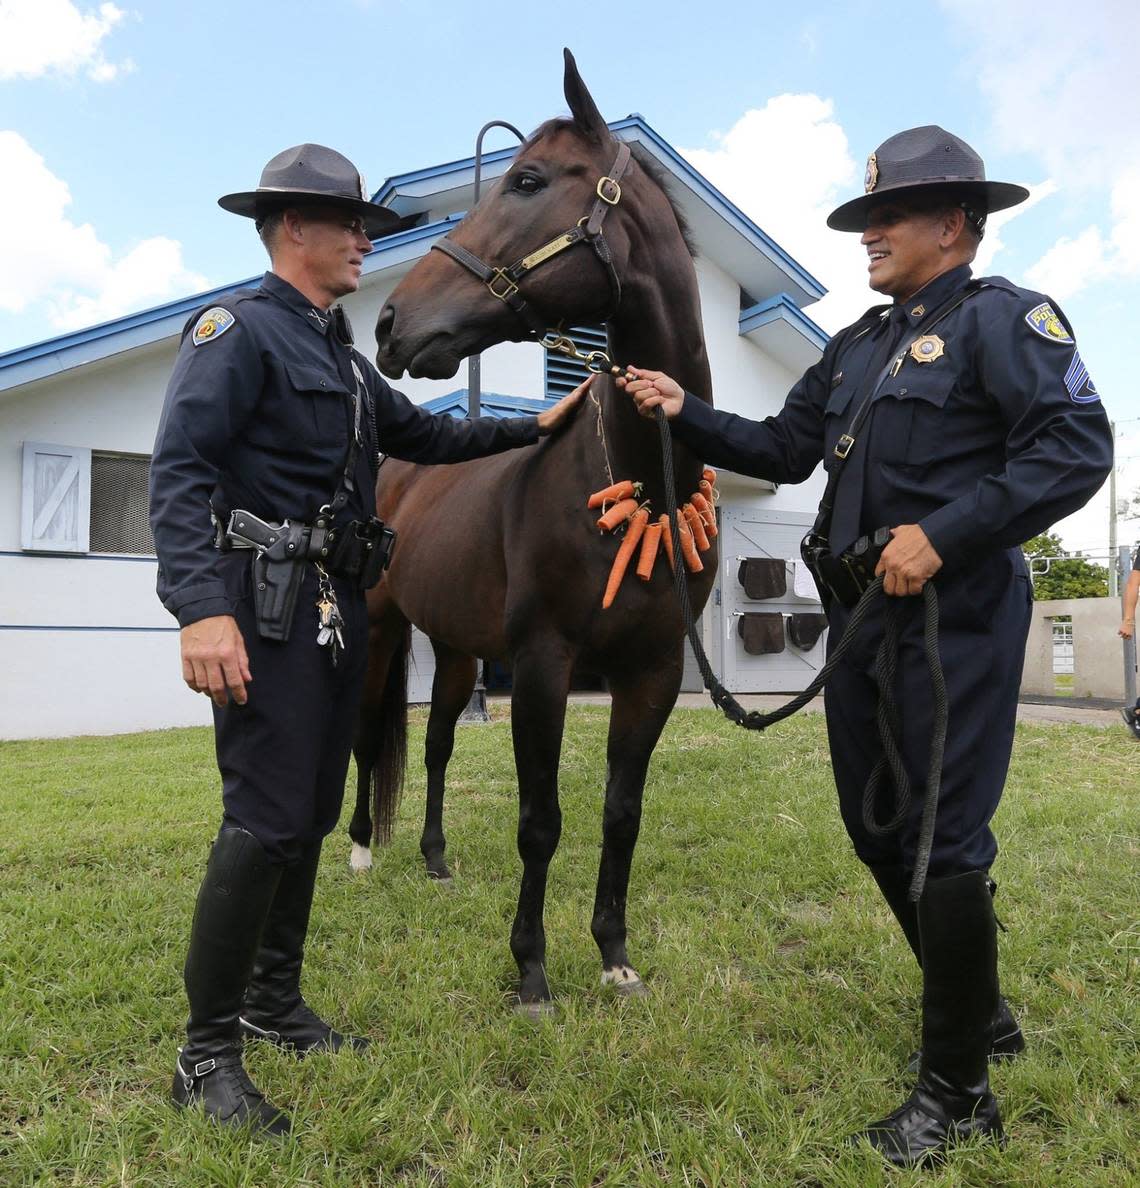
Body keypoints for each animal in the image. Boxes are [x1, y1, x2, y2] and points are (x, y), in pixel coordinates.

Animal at [351, 51, 717, 1007]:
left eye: (526, 180)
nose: (391, 324)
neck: (640, 475)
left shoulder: (654, 673)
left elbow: (621, 814)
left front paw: (614, 954)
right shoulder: (545, 664)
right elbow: (540, 821)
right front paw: (532, 972)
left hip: (456, 650)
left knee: (436, 745)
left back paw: (435, 860)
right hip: (381, 629)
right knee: (367, 737)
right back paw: (361, 849)